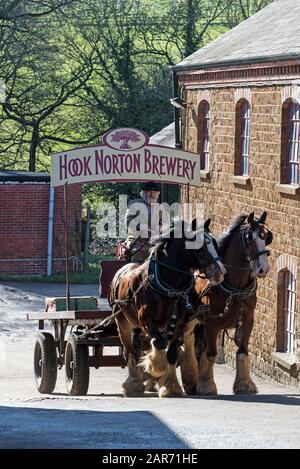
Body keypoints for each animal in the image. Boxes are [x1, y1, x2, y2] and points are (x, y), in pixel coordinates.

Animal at [109, 218, 225, 396]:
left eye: (214, 243)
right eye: (199, 247)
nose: (220, 272)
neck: (169, 284)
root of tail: (122, 270)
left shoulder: (180, 323)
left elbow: (171, 353)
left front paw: (170, 386)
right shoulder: (146, 320)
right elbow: (159, 344)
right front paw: (155, 368)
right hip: (122, 322)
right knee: (129, 352)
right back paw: (133, 384)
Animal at [179, 212, 274, 394]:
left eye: (266, 237)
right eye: (249, 237)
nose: (263, 269)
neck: (235, 286)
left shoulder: (248, 320)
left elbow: (242, 351)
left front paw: (244, 385)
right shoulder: (211, 322)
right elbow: (211, 353)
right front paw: (206, 386)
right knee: (188, 340)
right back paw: (190, 378)